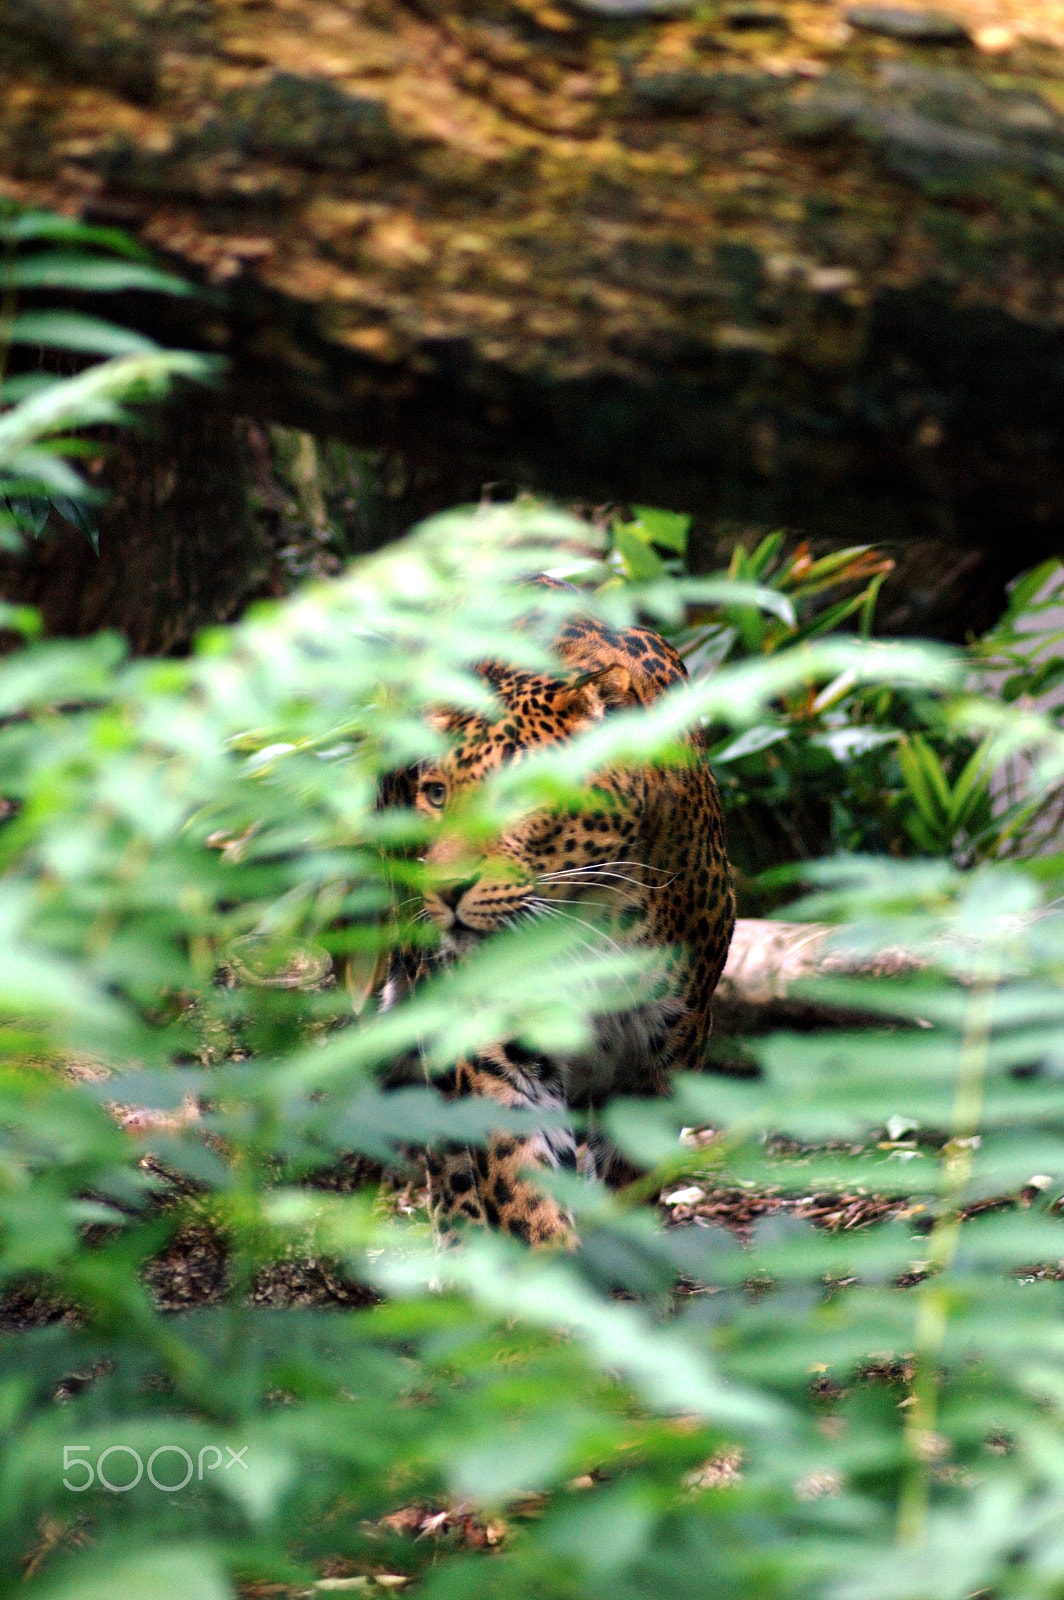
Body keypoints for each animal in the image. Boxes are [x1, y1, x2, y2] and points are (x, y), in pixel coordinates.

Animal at [385, 595, 736, 1241]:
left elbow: (627, 1184)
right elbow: (523, 1189)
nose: (443, 890)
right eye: (437, 794)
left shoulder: (666, 1050)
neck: (592, 919)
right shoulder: (498, 1046)